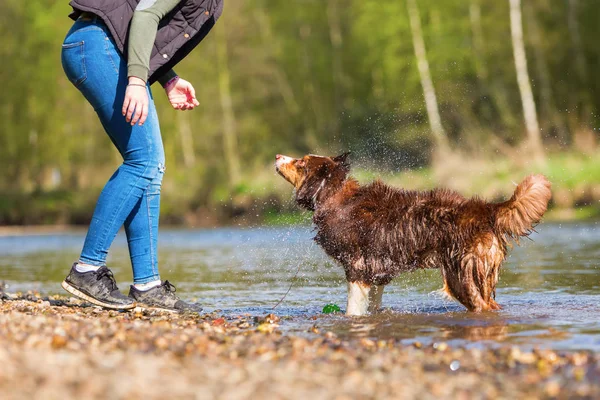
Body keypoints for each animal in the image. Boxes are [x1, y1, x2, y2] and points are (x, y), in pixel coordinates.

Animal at [274, 153, 552, 316]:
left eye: (300, 162)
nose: (277, 155)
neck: (334, 195)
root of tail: (485, 208)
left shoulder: (357, 269)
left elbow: (353, 311)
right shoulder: (378, 273)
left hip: (461, 275)